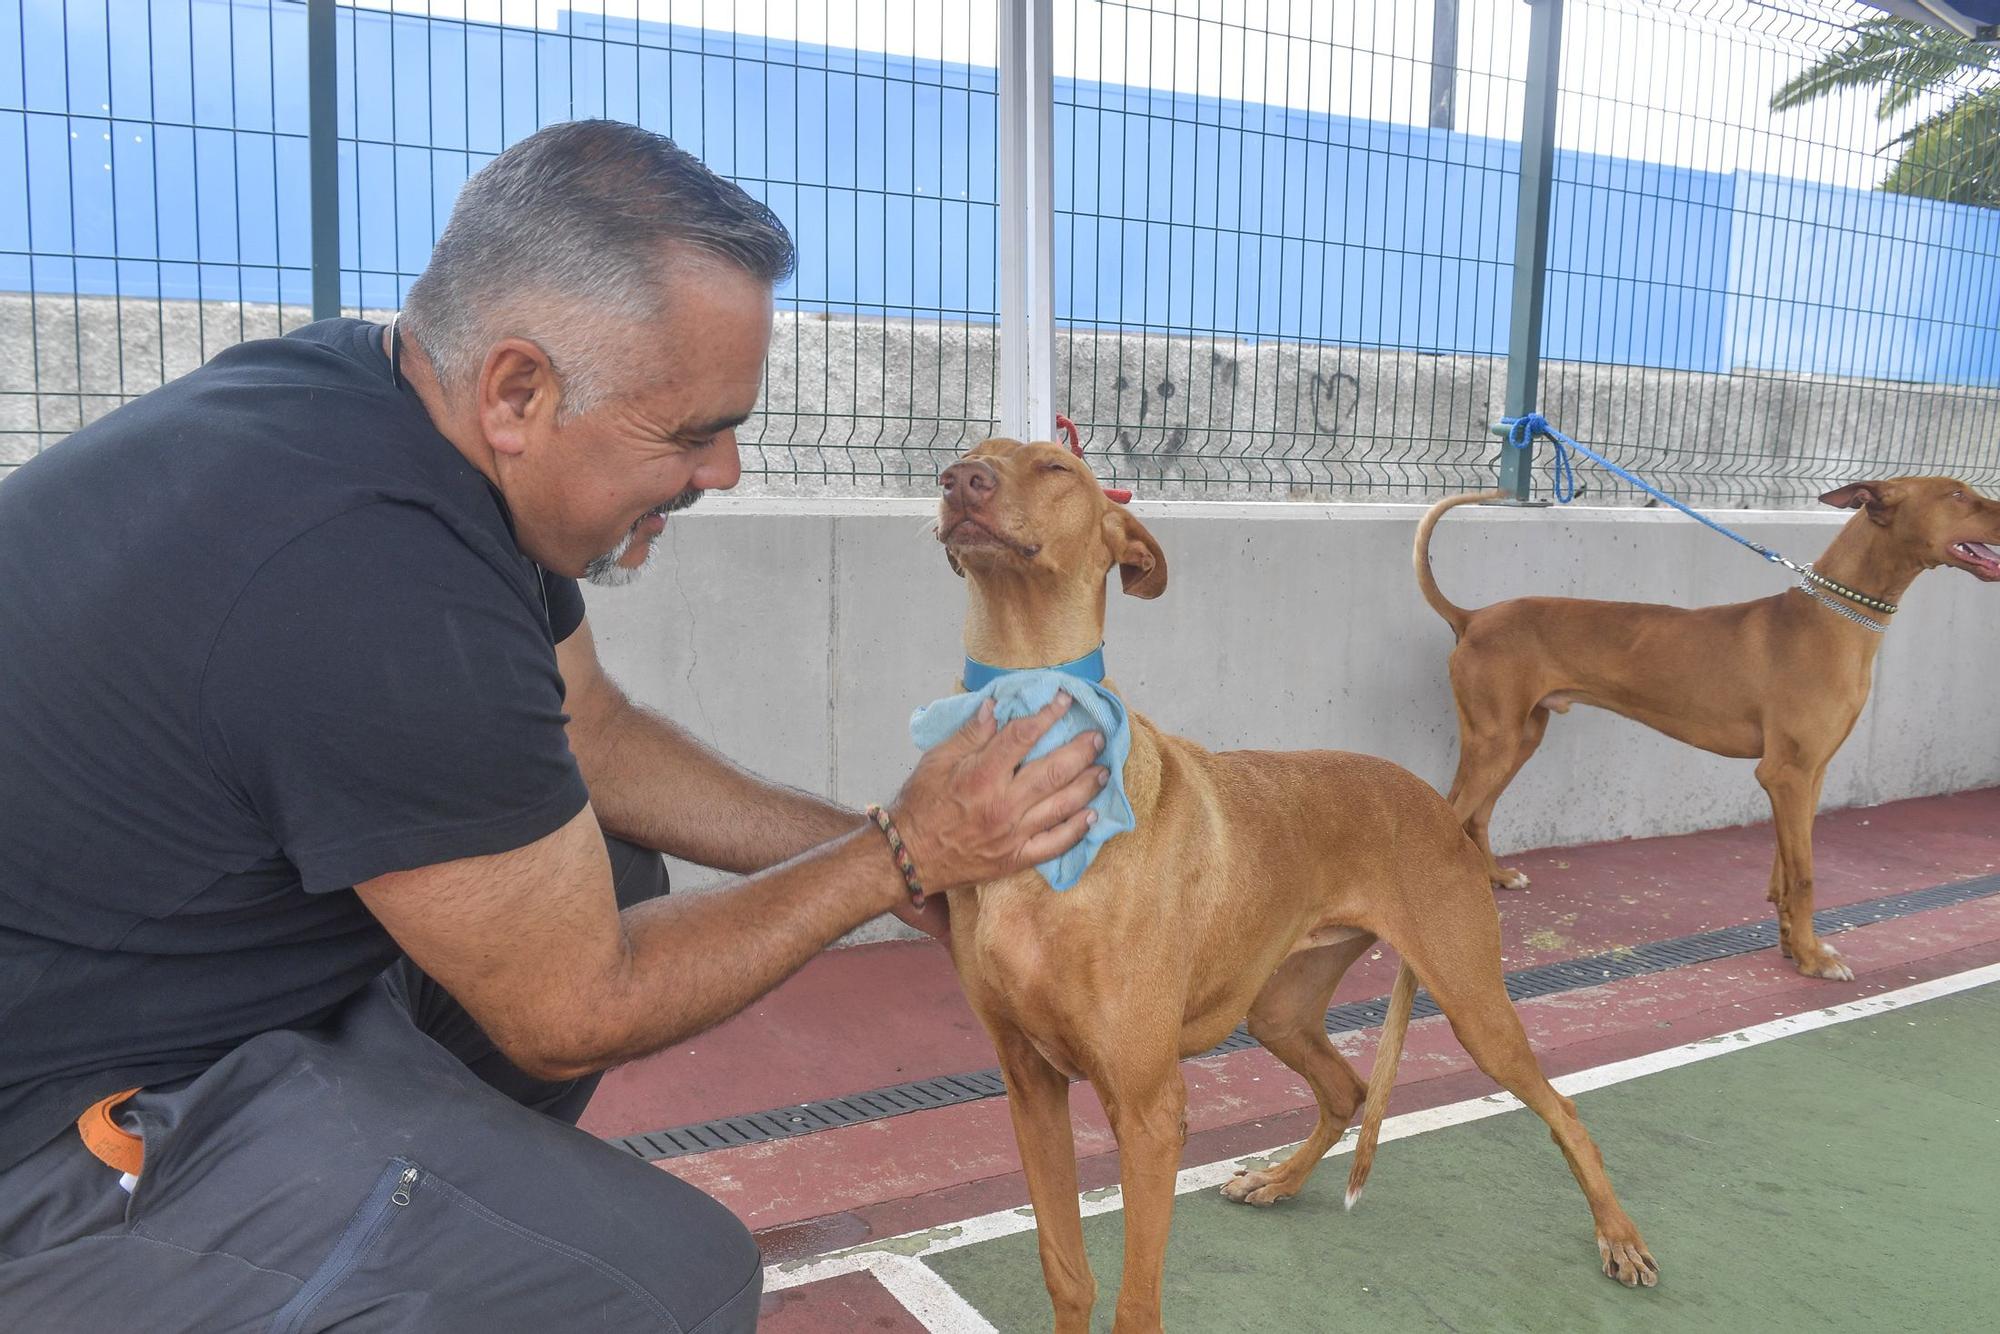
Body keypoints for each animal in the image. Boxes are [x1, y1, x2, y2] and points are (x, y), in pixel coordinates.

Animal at [932, 440, 1656, 1334]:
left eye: (1057, 468)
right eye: (967, 454)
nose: (959, 483)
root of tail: (1438, 810)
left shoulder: (1149, 1108)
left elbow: (1136, 1304)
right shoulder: (1030, 1086)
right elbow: (1067, 1273)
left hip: (1473, 1003)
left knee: (1565, 1111)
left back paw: (1619, 1238)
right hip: (1278, 1007)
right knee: (1346, 1090)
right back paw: (1277, 1179)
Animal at [1416, 472, 2000, 980]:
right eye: (1957, 494)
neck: (1834, 619)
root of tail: (1472, 616)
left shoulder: (1809, 774)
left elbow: (1785, 869)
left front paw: (1792, 944)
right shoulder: (1785, 773)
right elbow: (1805, 875)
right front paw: (1814, 958)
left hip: (1519, 737)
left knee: (1473, 814)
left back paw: (1494, 877)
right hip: (1498, 740)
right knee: (1454, 813)